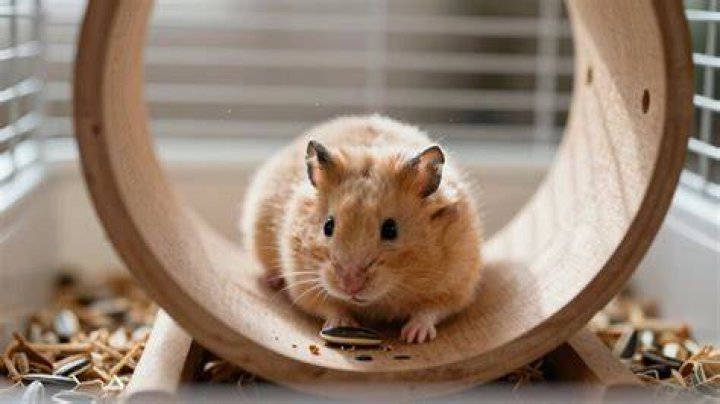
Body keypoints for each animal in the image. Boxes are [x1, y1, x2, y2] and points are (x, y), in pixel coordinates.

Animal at [241, 115, 483, 343]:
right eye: (328, 226)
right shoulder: (302, 282)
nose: (350, 286)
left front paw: (413, 336)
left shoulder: (457, 284)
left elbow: (430, 310)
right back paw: (272, 280)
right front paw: (344, 323)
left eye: (391, 230)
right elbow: (329, 306)